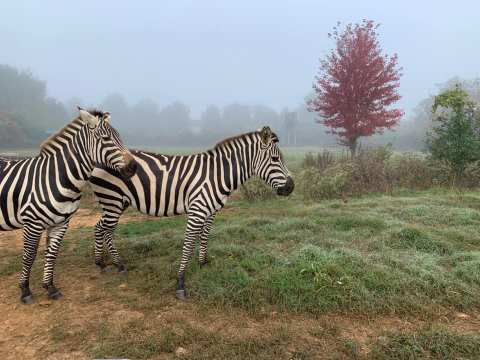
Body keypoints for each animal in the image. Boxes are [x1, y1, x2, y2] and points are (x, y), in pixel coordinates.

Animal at [1, 107, 137, 304]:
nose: (134, 167)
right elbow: (29, 256)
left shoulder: (61, 223)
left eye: (120, 137)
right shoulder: (32, 223)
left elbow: (52, 253)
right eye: (105, 139)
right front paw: (25, 290)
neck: (57, 178)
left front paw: (50, 288)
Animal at [88, 126, 294, 298]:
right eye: (275, 159)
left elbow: (204, 237)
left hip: (117, 202)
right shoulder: (197, 211)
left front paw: (203, 264)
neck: (217, 175)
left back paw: (106, 262)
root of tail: (97, 161)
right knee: (104, 229)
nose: (291, 187)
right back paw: (111, 264)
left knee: (102, 228)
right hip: (113, 200)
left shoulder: (210, 211)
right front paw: (180, 282)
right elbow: (188, 245)